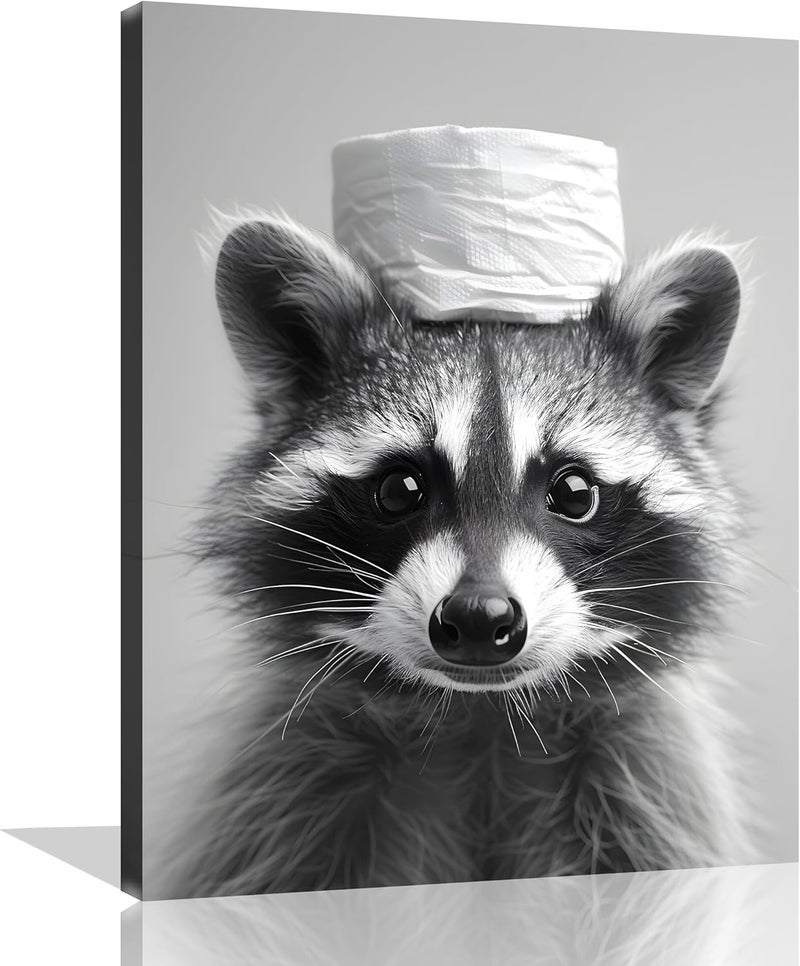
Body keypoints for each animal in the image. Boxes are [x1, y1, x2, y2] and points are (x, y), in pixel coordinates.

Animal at [173, 214, 752, 897]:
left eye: (574, 492)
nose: (480, 617)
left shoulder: (644, 788)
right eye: (400, 489)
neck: (480, 717)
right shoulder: (286, 795)